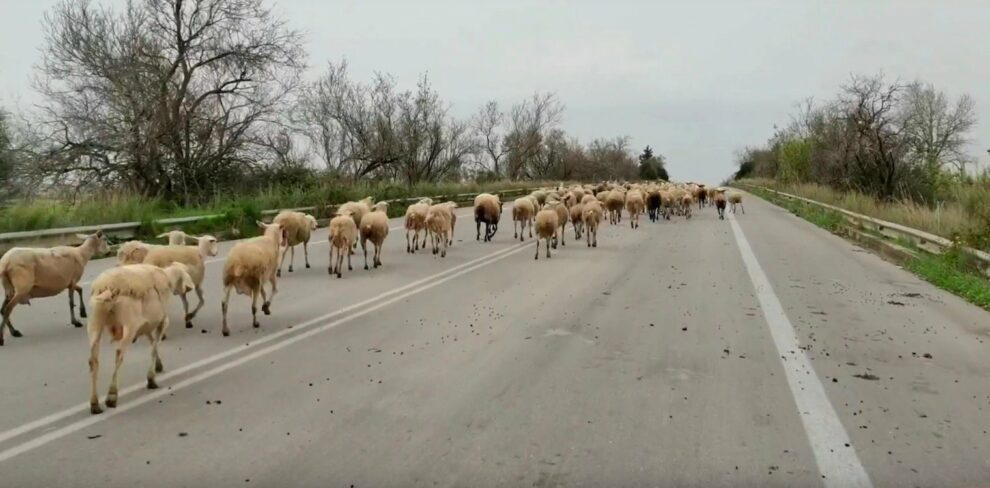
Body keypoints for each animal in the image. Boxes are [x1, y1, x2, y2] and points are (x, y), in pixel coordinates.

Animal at [87, 262, 196, 414]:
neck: (167, 277)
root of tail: (107, 287)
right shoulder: (162, 321)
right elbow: (154, 346)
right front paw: (151, 379)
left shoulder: (146, 325)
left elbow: (152, 342)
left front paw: (158, 365)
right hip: (129, 324)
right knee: (119, 354)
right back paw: (112, 396)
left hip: (94, 324)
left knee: (93, 360)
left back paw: (95, 404)